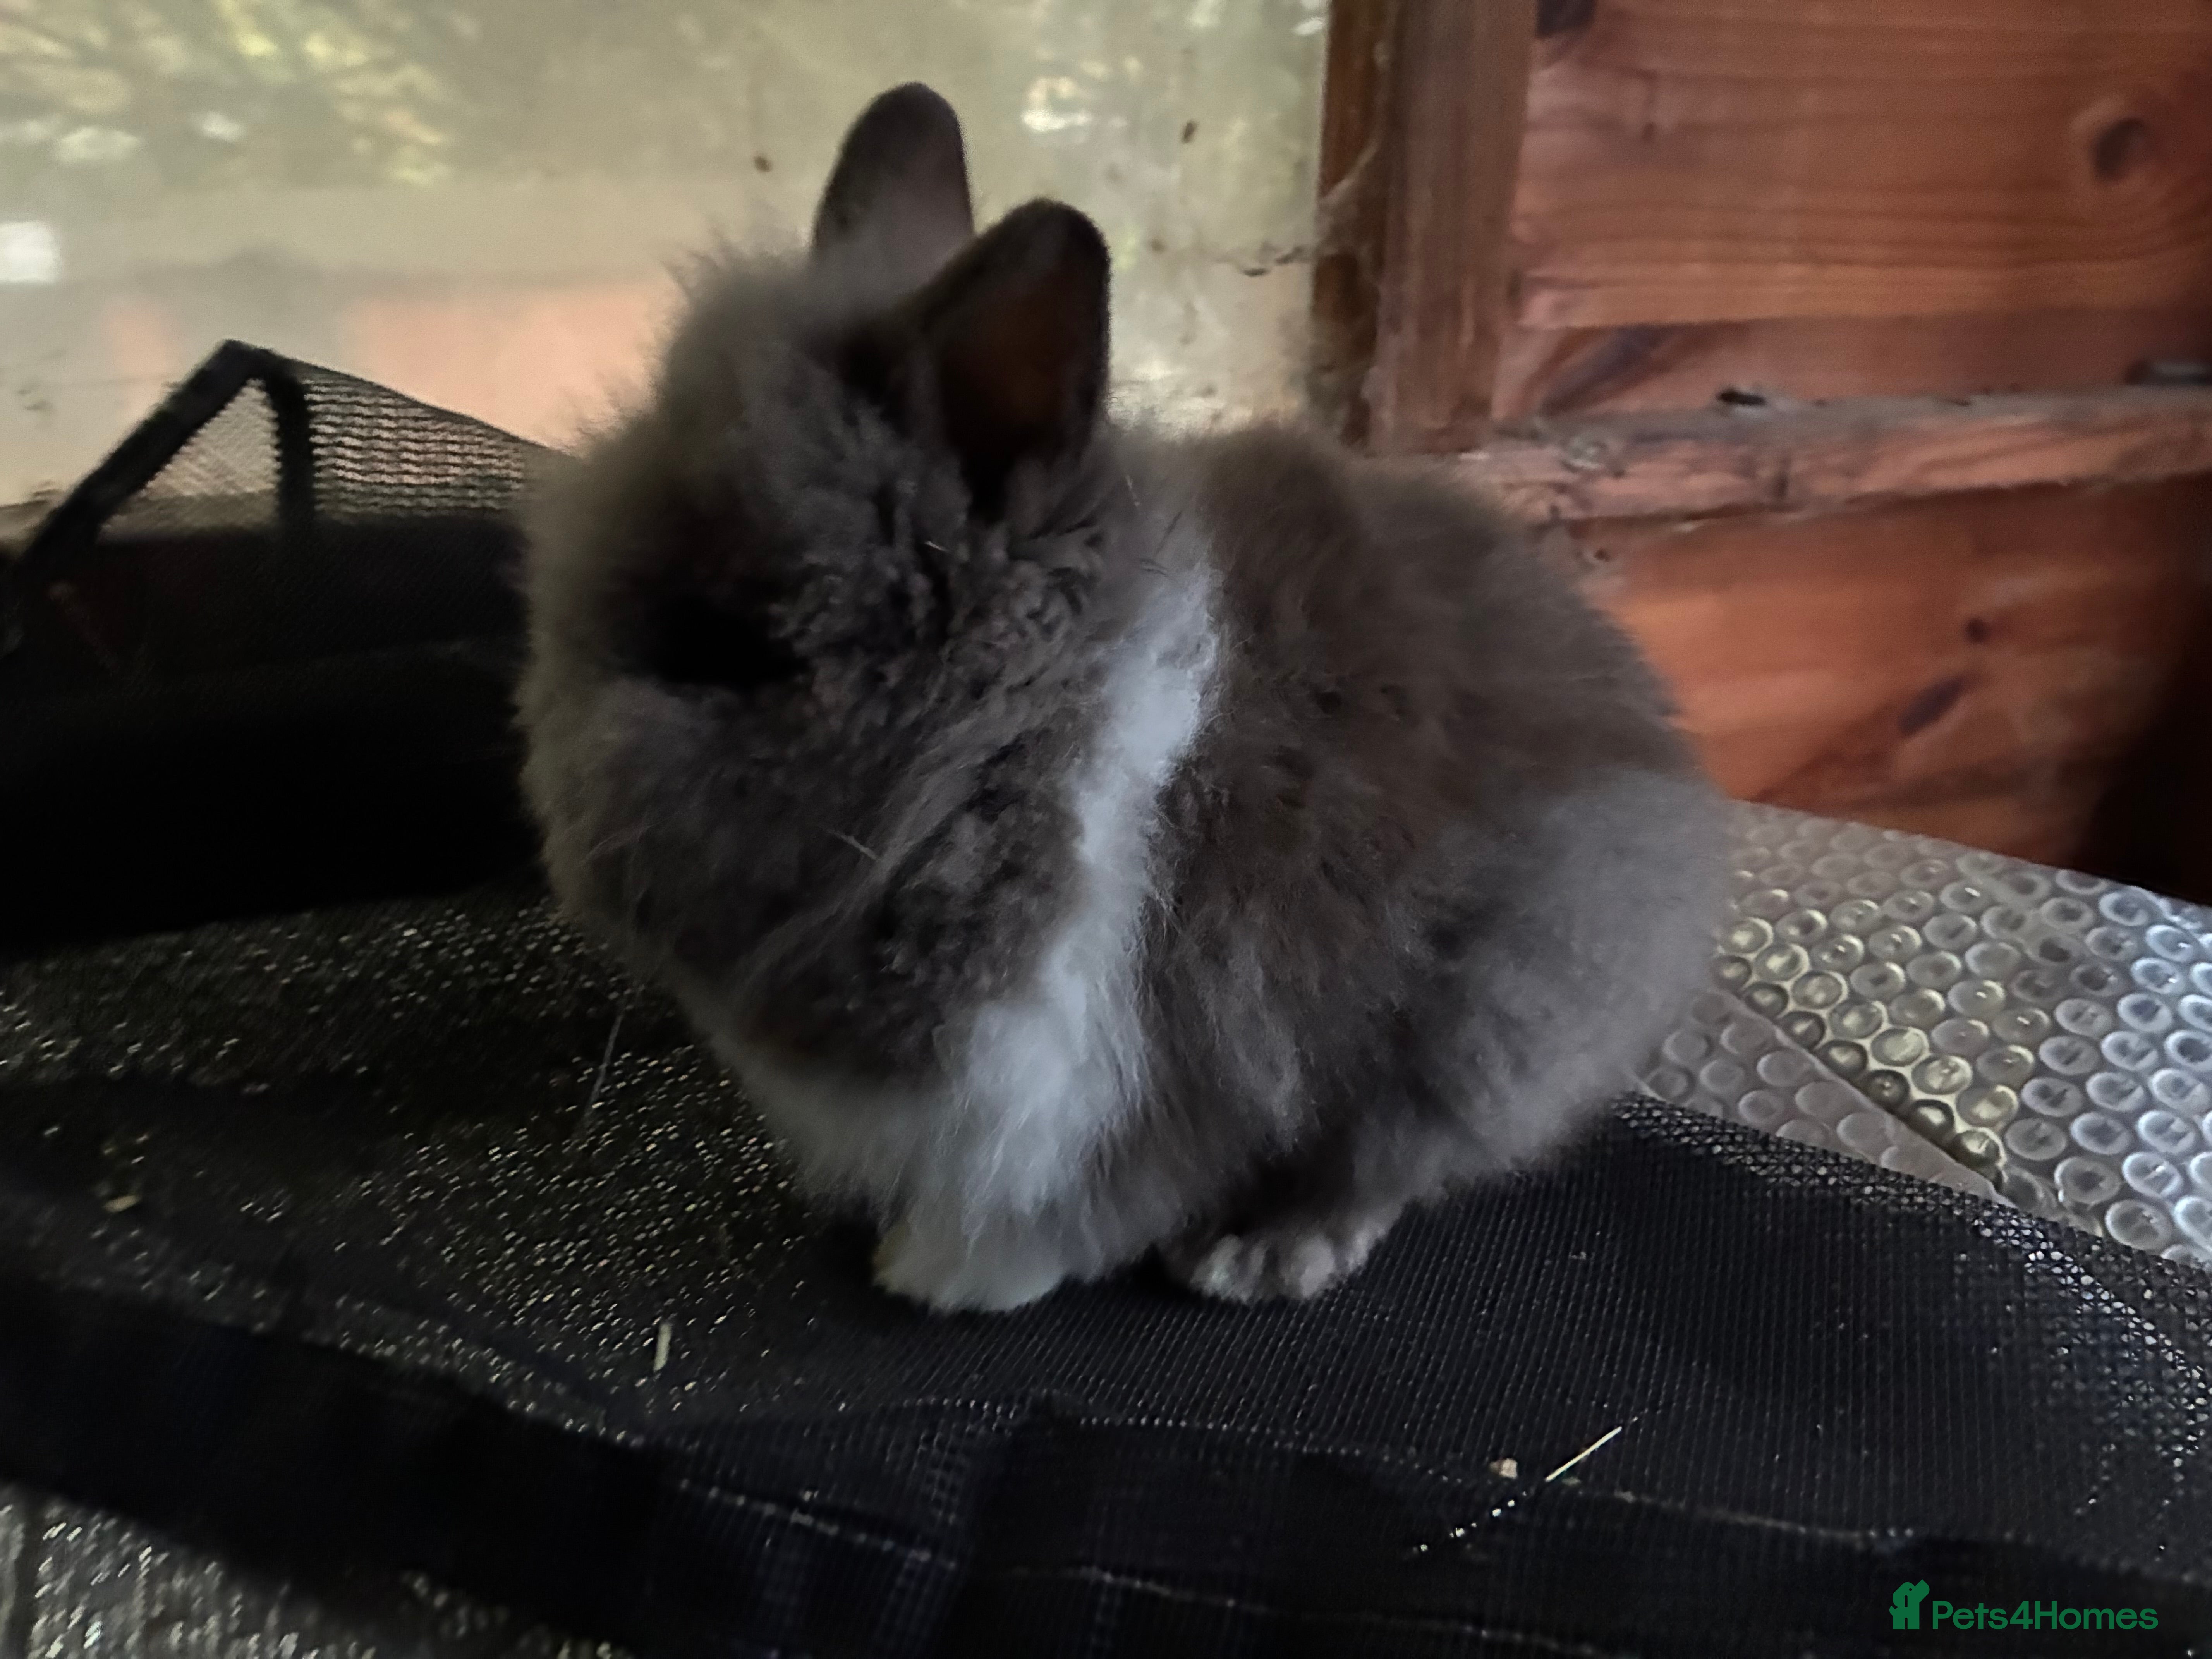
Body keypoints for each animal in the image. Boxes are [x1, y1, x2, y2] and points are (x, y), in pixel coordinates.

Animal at [516, 83, 1728, 1314]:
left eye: (735, 651)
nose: (564, 848)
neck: (1017, 746)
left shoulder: (1108, 1064)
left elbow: (1075, 1198)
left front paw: (939, 1275)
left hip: (1480, 1022)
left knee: (1387, 1159)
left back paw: (1259, 1254)